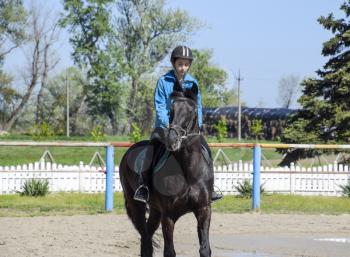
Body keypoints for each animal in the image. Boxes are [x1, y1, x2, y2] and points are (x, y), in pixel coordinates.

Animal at [119, 81, 213, 256]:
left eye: (192, 110)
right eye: (171, 109)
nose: (172, 139)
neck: (188, 171)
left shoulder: (203, 210)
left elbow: (204, 249)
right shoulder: (168, 216)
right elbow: (169, 251)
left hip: (155, 210)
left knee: (147, 237)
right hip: (137, 206)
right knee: (145, 237)